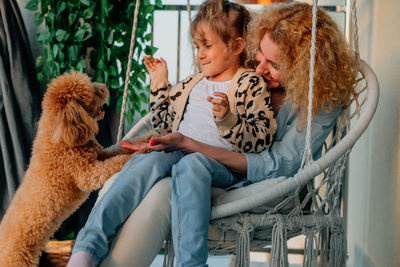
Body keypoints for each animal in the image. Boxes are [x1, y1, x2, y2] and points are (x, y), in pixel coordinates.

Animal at [0, 71, 139, 267]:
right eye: (89, 92)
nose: (104, 87)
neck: (60, 134)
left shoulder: (101, 153)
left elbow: (119, 150)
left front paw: (148, 140)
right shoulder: (89, 173)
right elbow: (118, 161)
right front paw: (141, 153)